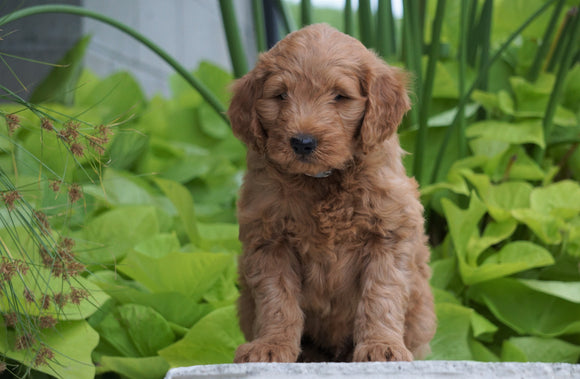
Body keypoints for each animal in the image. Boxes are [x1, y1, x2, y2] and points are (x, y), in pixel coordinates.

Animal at [227, 23, 436, 362]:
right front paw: (271, 346)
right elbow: (276, 300)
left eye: (340, 96)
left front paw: (382, 346)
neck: (322, 179)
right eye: (280, 95)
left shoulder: (389, 233)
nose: (302, 141)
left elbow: (382, 294)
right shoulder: (269, 239)